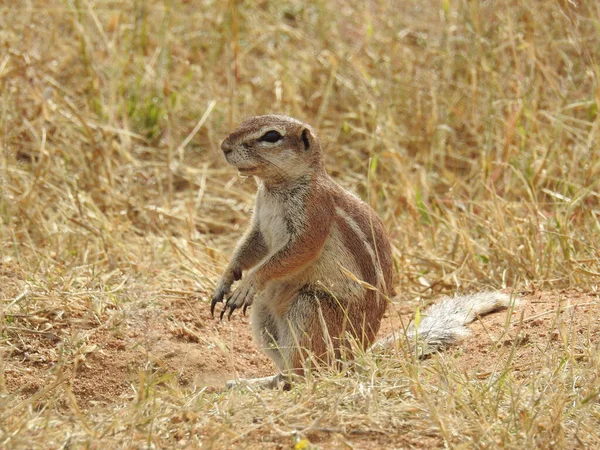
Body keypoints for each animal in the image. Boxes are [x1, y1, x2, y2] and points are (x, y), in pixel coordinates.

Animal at [209, 115, 512, 386]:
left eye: (271, 136)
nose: (223, 146)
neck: (275, 188)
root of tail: (357, 355)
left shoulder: (314, 214)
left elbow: (294, 253)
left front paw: (249, 282)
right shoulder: (260, 225)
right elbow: (249, 248)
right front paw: (226, 280)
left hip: (311, 306)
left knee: (312, 371)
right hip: (264, 312)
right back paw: (258, 381)